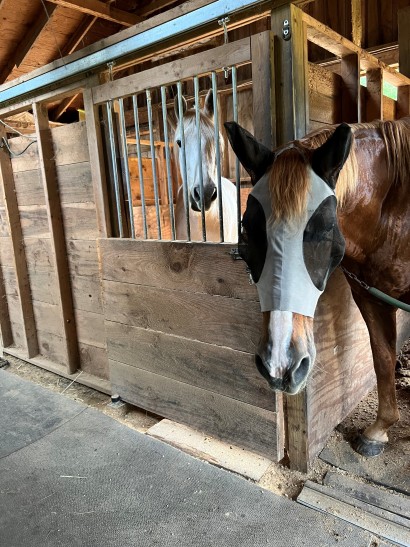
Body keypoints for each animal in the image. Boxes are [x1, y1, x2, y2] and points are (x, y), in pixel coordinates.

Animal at [226, 120, 408, 458]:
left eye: (324, 231)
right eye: (248, 233)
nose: (280, 364)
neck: (395, 211)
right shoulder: (371, 297)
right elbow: (382, 357)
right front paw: (378, 431)